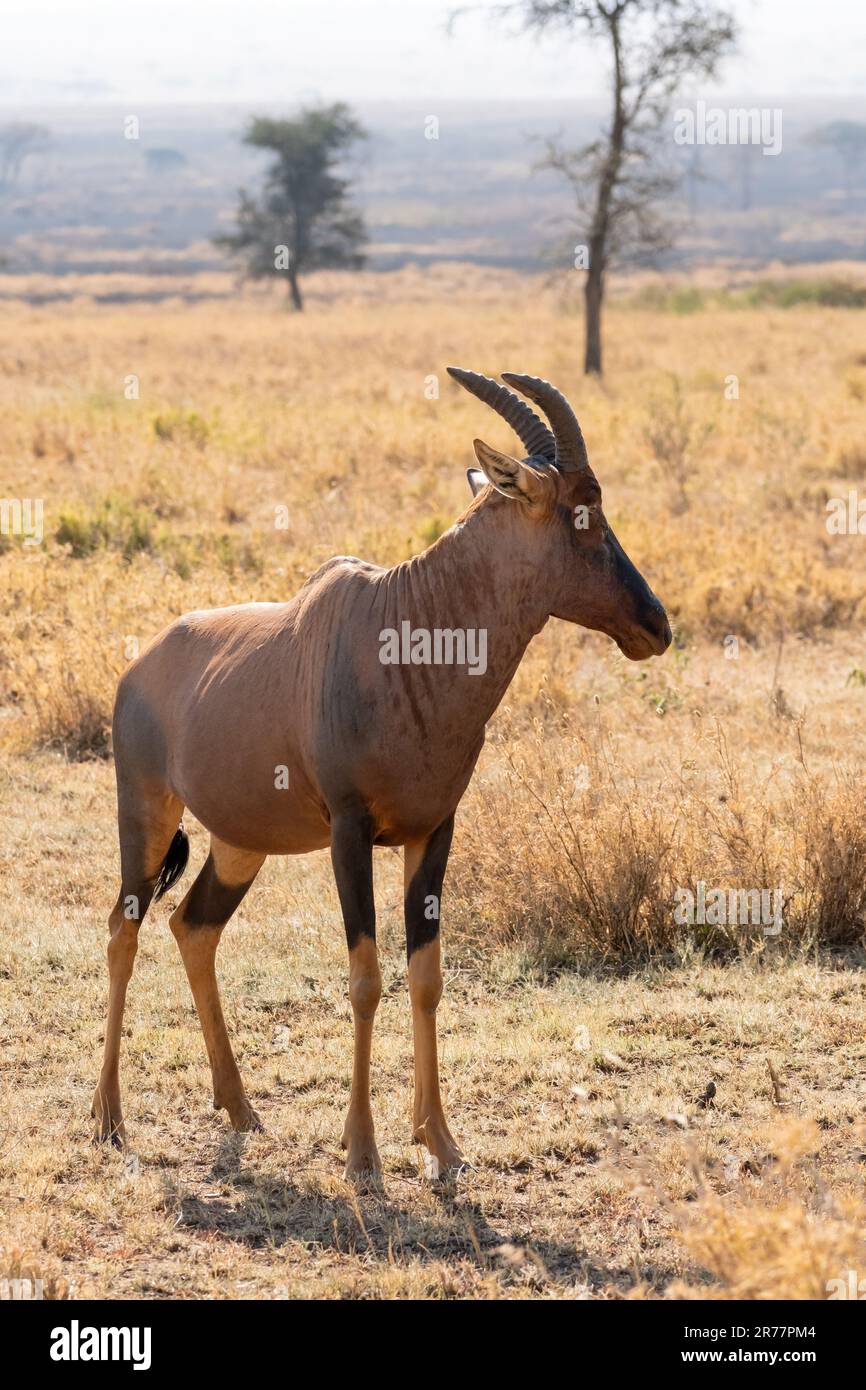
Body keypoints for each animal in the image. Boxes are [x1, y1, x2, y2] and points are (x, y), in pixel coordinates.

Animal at [93, 370, 671, 1183]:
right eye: (581, 512)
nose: (657, 624)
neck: (405, 633)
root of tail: (142, 663)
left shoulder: (433, 831)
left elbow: (426, 977)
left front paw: (441, 1144)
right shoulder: (349, 832)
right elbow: (365, 977)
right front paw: (361, 1152)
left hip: (241, 842)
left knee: (193, 927)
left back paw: (239, 1108)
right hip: (147, 813)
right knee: (125, 930)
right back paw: (109, 1120)